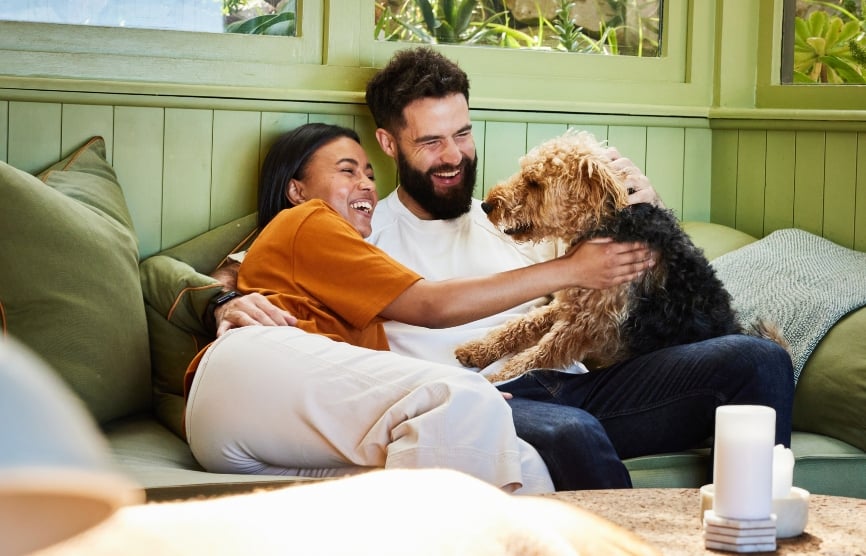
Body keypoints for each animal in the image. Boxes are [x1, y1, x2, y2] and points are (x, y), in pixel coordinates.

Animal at [456, 131, 780, 384]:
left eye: (535, 182)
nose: (486, 205)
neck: (605, 225)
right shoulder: (570, 303)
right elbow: (520, 326)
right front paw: (476, 351)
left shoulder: (587, 324)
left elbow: (537, 353)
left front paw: (496, 378)